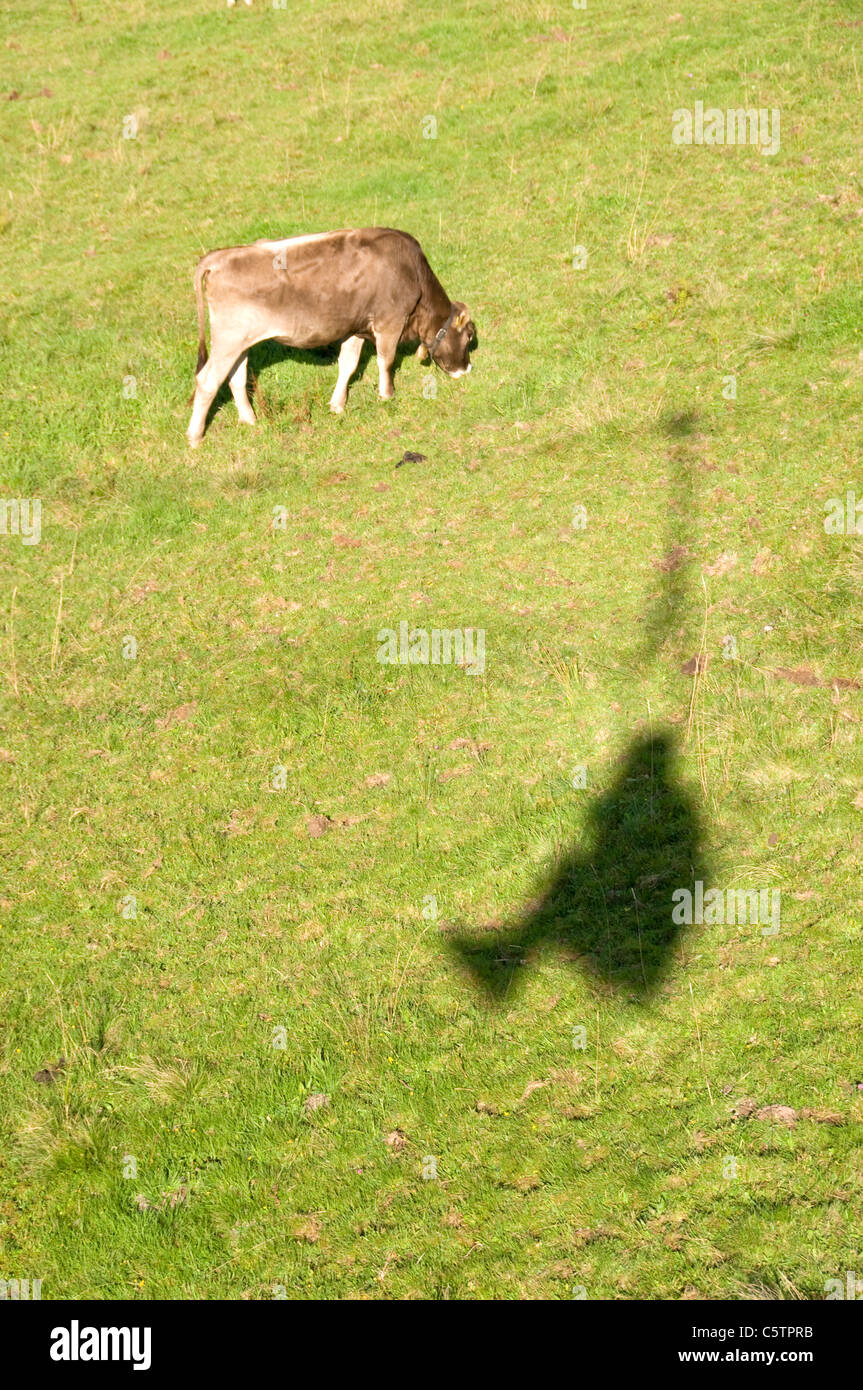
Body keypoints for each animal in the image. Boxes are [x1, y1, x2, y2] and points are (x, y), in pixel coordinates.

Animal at [184, 227, 475, 444]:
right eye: (469, 336)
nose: (467, 369)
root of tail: (220, 257)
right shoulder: (390, 321)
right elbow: (386, 361)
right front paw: (387, 395)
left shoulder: (355, 328)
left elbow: (348, 364)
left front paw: (337, 404)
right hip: (228, 338)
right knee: (207, 380)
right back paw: (195, 436)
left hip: (241, 341)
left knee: (236, 377)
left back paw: (249, 420)